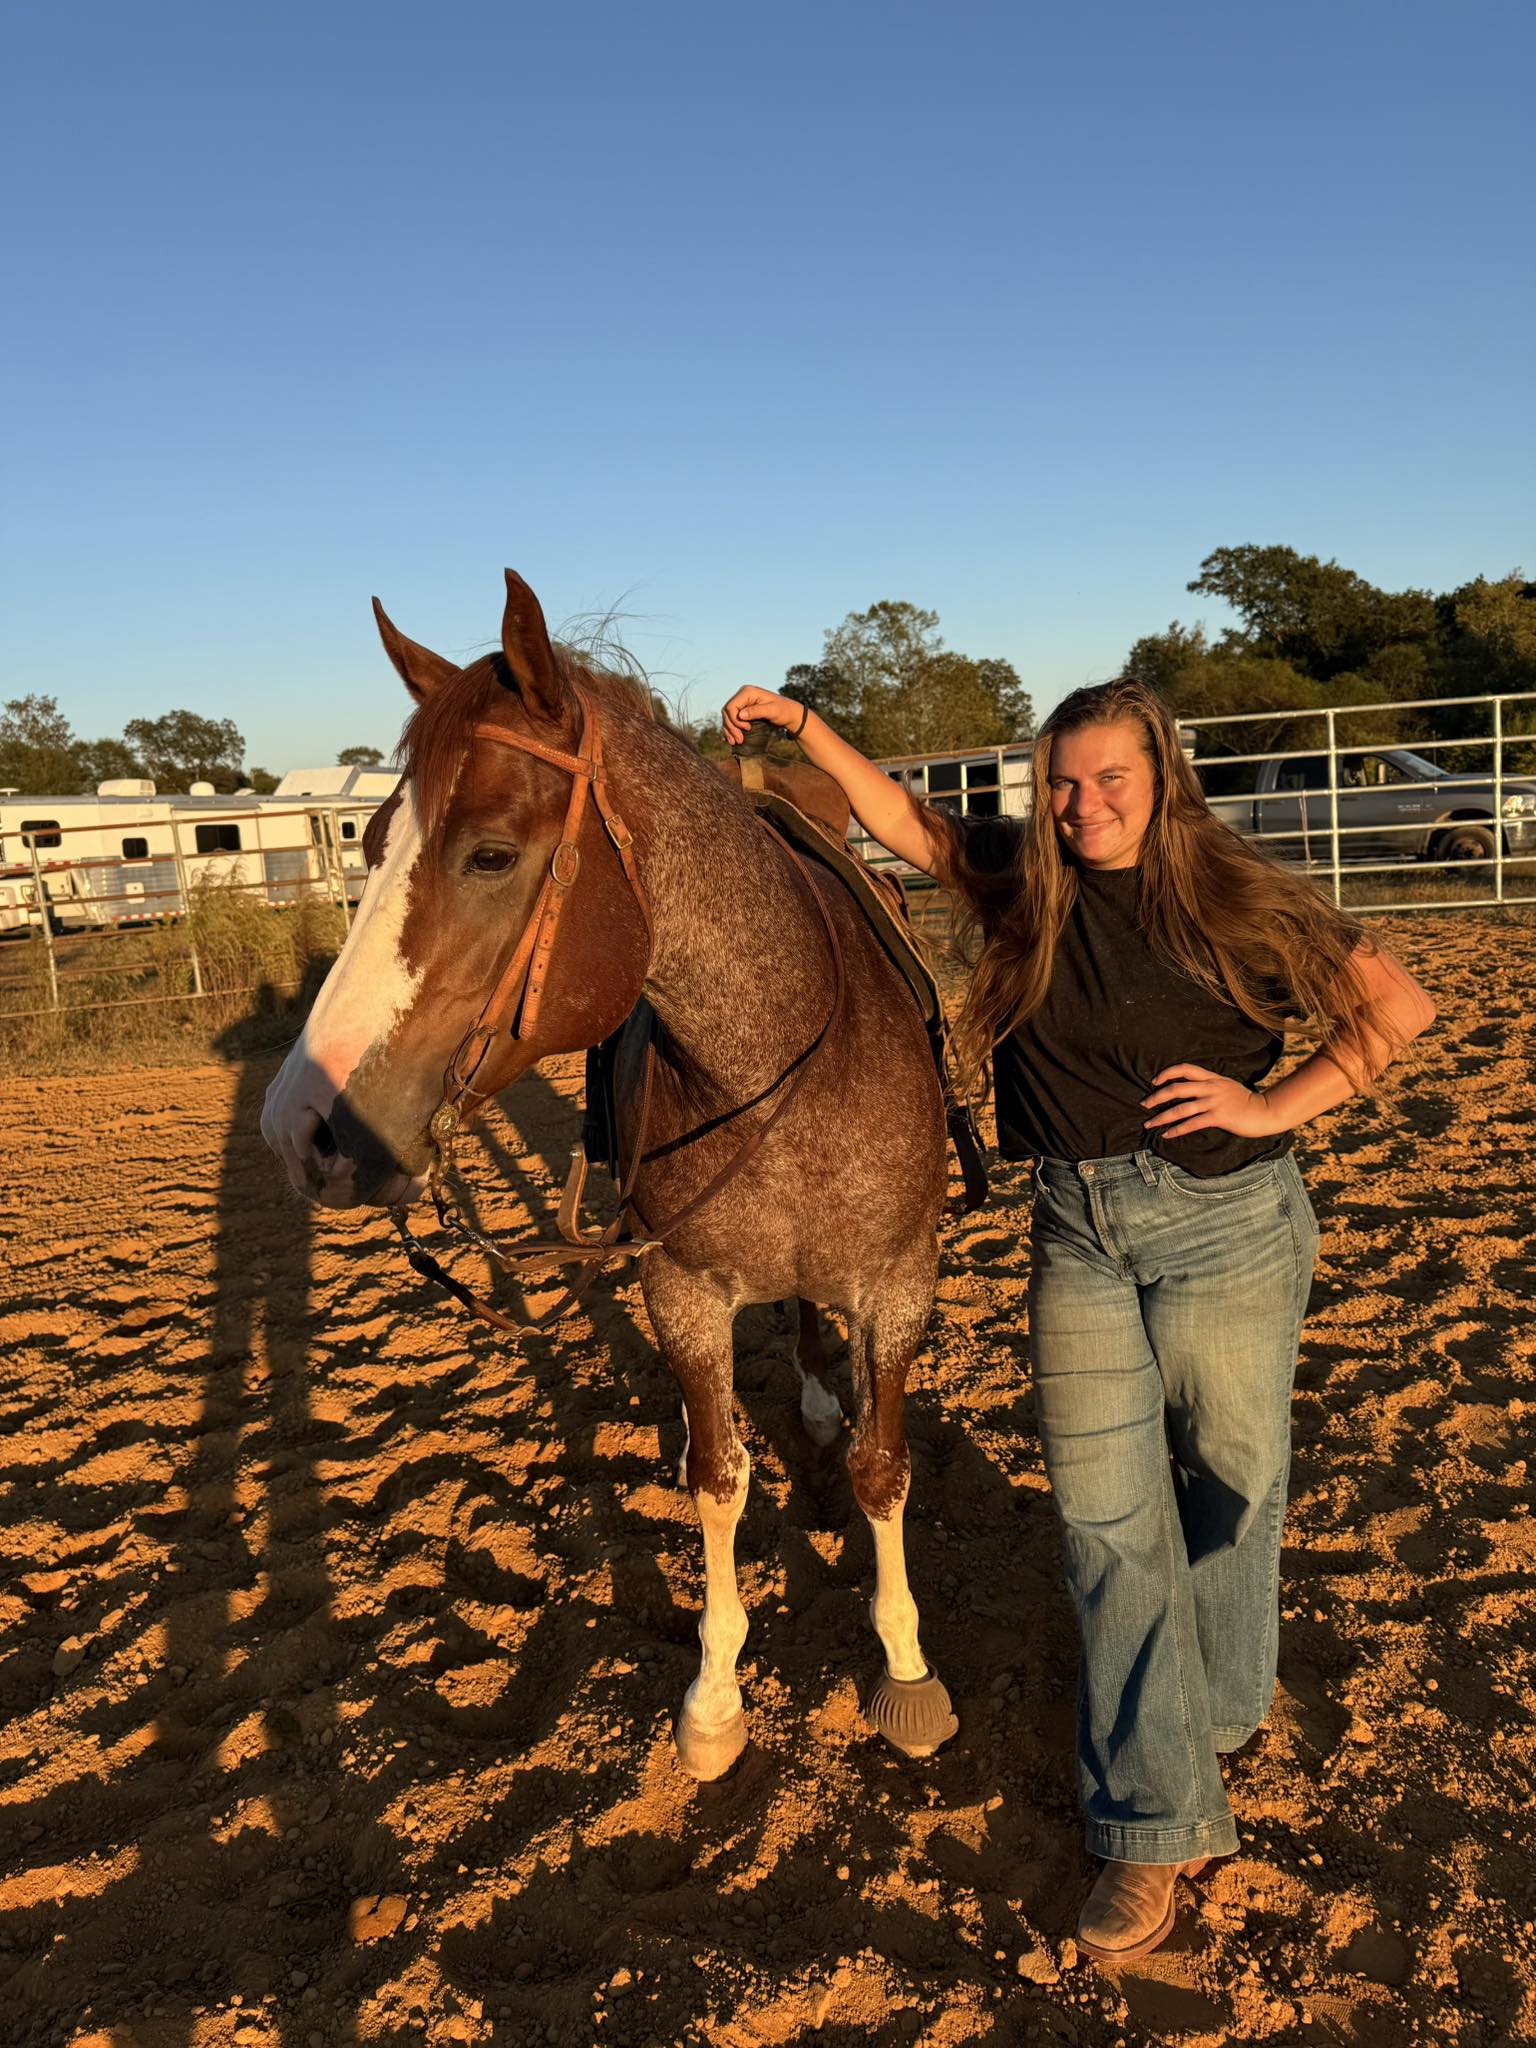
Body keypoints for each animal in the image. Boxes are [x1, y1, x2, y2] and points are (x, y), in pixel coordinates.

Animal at [261, 569, 958, 1778]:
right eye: (375, 842)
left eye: (491, 853)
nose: (301, 1125)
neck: (776, 1055)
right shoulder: (678, 1290)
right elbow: (717, 1479)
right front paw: (715, 1697)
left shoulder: (897, 1284)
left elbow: (882, 1468)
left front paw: (907, 1668)